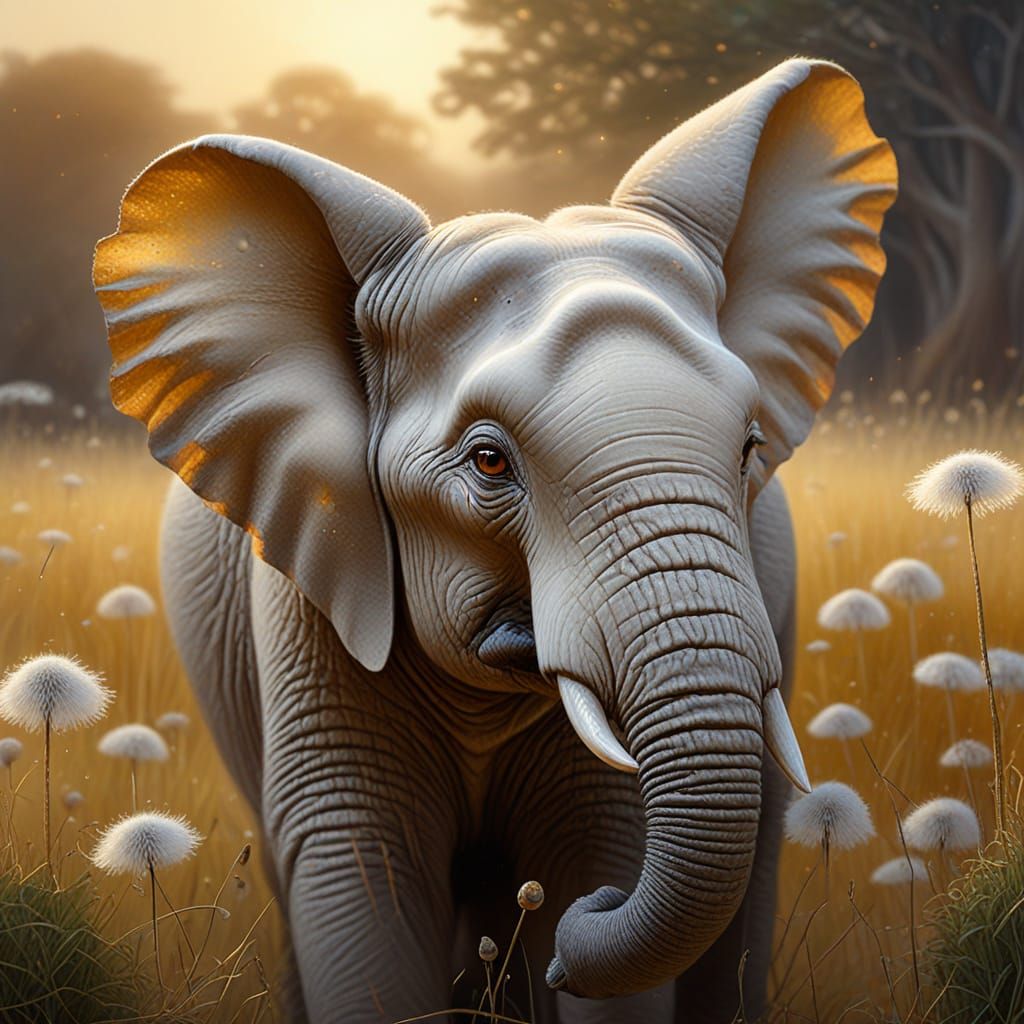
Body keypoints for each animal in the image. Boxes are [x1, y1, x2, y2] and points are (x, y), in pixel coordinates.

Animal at [93, 58, 896, 1023]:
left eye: (750, 450)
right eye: (488, 462)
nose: (573, 933)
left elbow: (604, 841)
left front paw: (580, 905)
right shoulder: (312, 611)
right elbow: (359, 882)